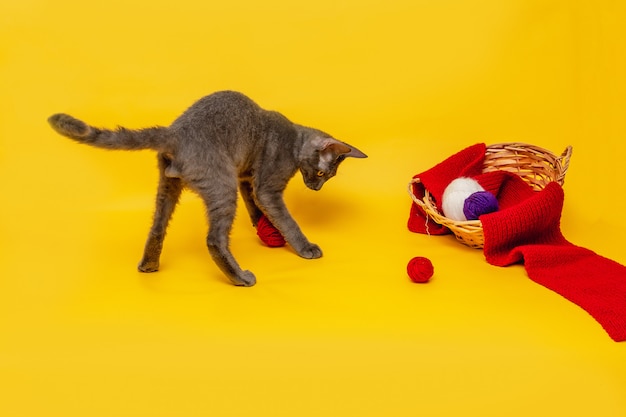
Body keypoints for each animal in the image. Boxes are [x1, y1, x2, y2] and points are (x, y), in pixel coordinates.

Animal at [47, 90, 366, 286]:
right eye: (322, 172)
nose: (316, 188)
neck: (294, 140)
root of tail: (175, 132)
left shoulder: (246, 178)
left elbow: (255, 205)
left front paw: (263, 226)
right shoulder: (266, 186)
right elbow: (287, 220)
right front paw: (305, 247)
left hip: (169, 186)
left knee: (157, 227)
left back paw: (149, 265)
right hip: (222, 185)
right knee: (214, 239)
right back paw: (240, 278)